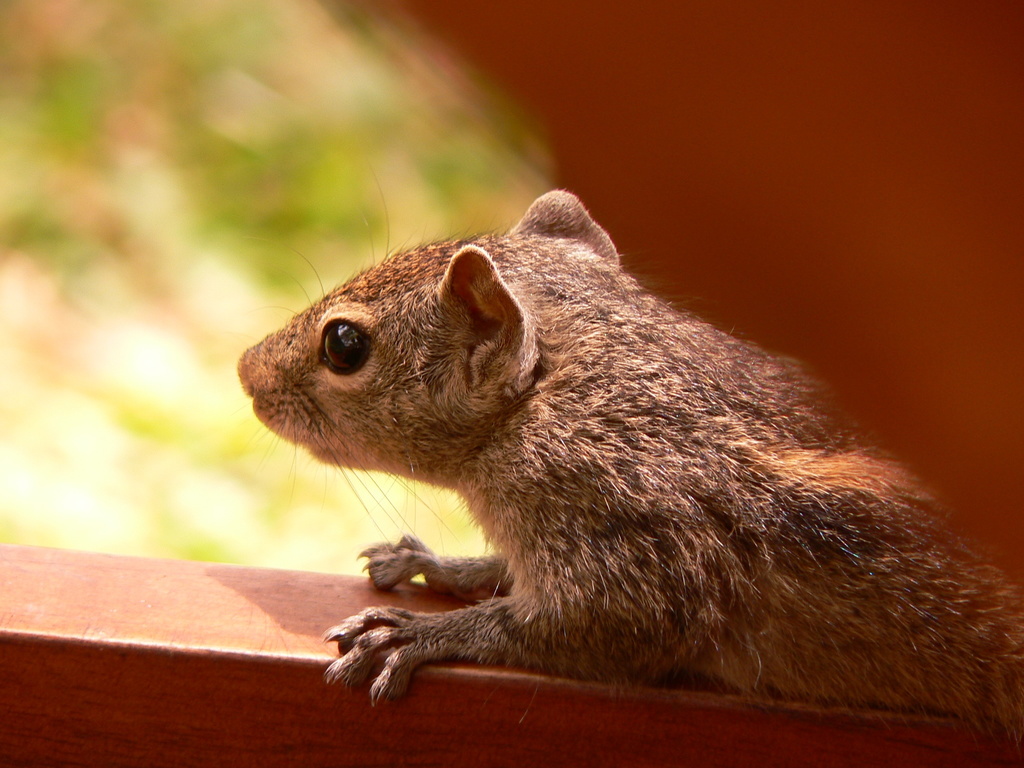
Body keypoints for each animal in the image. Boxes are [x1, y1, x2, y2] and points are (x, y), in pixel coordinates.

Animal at [234, 191, 1024, 733]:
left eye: (344, 345)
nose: (245, 370)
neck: (567, 391)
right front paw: (438, 564)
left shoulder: (638, 535)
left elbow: (589, 624)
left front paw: (417, 634)